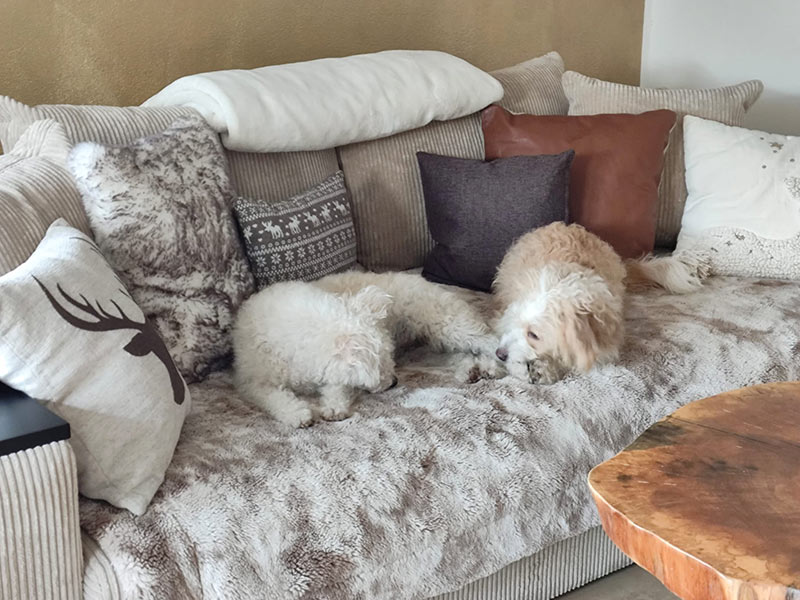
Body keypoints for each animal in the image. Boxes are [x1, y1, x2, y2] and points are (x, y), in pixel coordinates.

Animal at [233, 271, 496, 427]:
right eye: (380, 369)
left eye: (390, 358)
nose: (395, 382)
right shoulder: (252, 381)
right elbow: (274, 396)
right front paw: (296, 413)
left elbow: (337, 386)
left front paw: (334, 405)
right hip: (436, 342)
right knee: (461, 354)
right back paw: (471, 370)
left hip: (446, 324)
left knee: (488, 340)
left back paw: (492, 364)